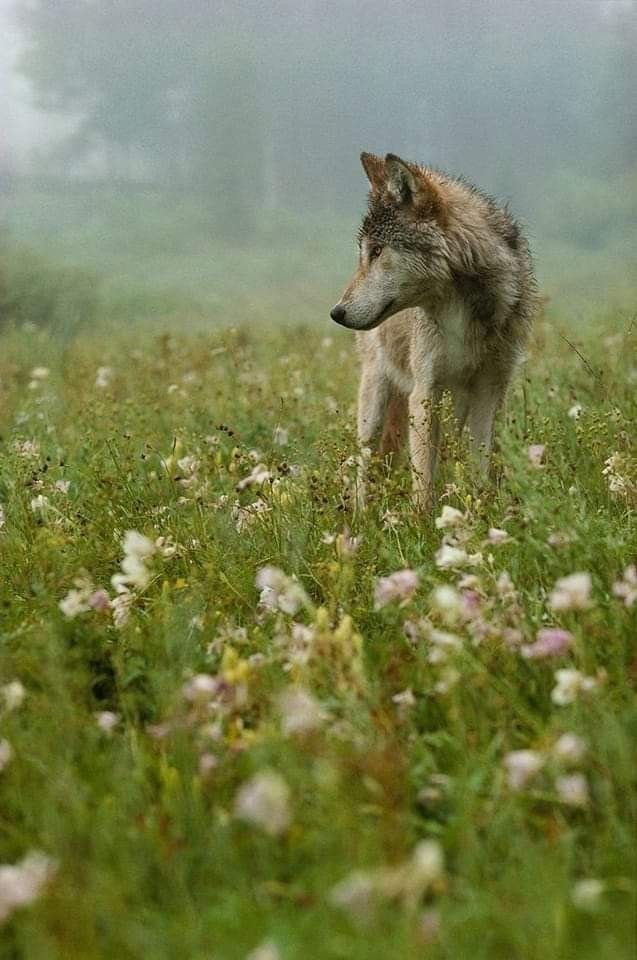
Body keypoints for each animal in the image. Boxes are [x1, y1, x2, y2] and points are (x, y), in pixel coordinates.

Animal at [330, 152, 537, 511]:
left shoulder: (489, 389)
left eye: (377, 251)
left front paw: (479, 511)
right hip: (375, 397)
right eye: (364, 253)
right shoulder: (425, 391)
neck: (462, 309)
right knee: (363, 461)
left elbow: (479, 465)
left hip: (455, 405)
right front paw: (421, 521)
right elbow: (423, 478)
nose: (336, 312)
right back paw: (360, 514)